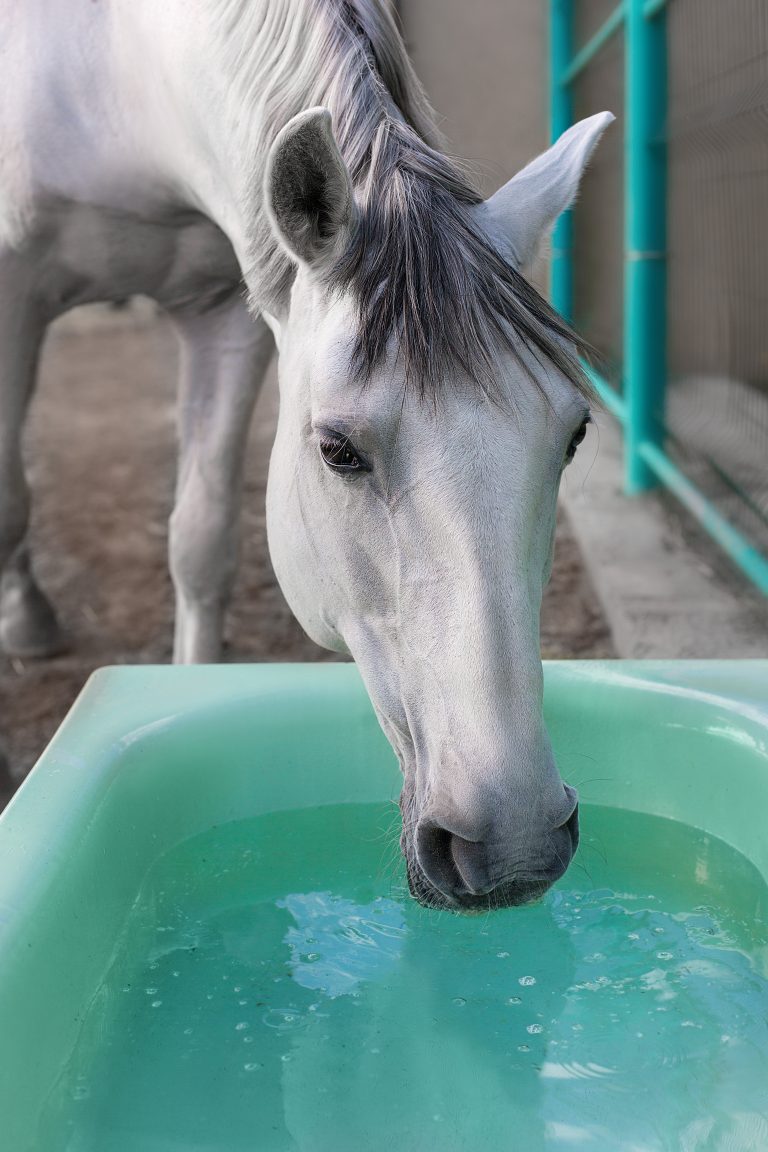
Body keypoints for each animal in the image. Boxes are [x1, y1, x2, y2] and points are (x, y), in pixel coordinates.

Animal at [0, 0, 612, 909]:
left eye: (573, 435)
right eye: (336, 450)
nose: (515, 843)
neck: (110, 71)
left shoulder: (222, 307)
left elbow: (201, 541)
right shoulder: (13, 293)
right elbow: (10, 504)